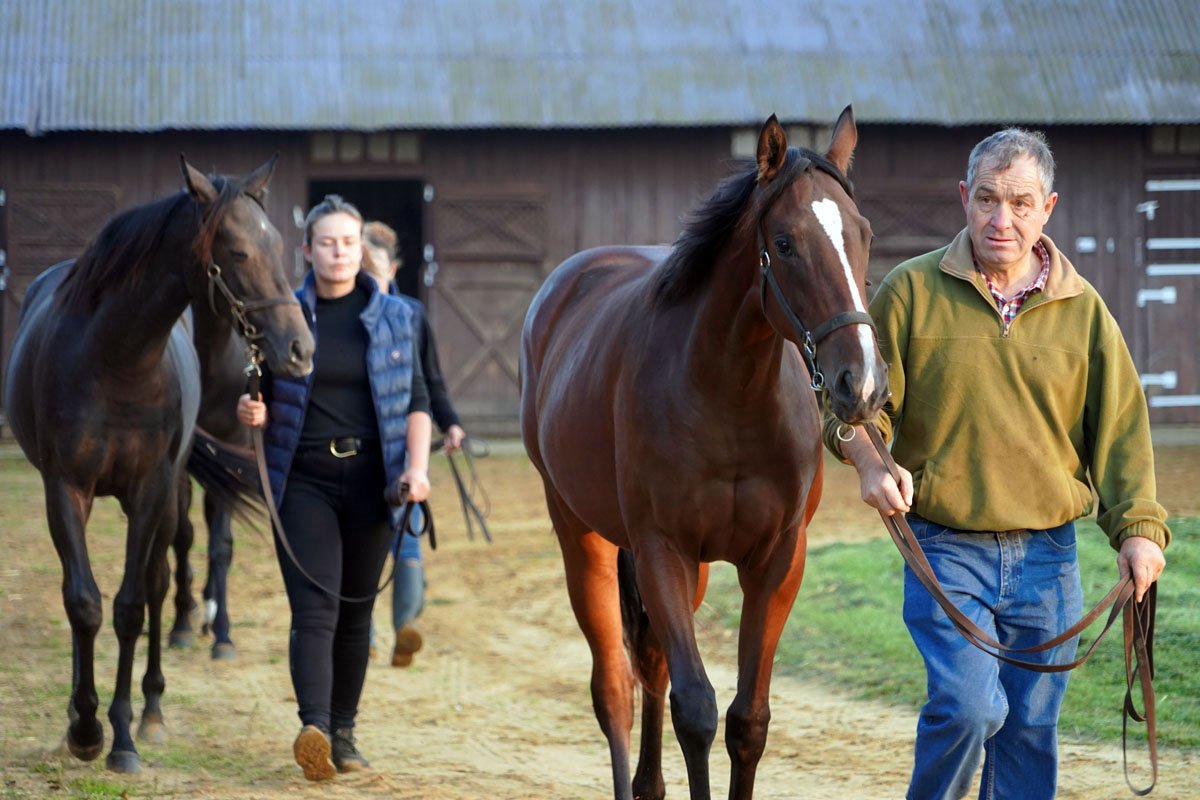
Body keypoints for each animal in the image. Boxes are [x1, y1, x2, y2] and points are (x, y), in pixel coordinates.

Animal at [2, 155, 314, 773]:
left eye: (277, 242)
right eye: (238, 251)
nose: (300, 348)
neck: (116, 359)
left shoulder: (151, 489)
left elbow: (130, 606)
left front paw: (122, 736)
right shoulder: (64, 488)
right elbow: (83, 603)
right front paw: (83, 727)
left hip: (166, 494)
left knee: (156, 581)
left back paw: (152, 709)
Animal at [519, 107, 889, 800]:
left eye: (863, 234)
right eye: (787, 243)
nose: (862, 384)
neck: (729, 397)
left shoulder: (777, 561)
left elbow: (748, 720)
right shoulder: (662, 548)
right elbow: (696, 710)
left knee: (651, 665)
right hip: (583, 537)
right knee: (615, 687)